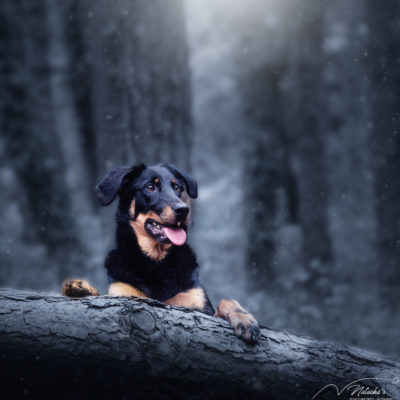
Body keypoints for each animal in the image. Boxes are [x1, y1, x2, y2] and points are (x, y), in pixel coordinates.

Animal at [61, 164, 260, 342]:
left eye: (177, 187)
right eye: (150, 187)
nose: (183, 210)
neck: (156, 262)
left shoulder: (201, 307)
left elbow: (226, 300)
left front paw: (244, 318)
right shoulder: (123, 294)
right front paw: (81, 288)